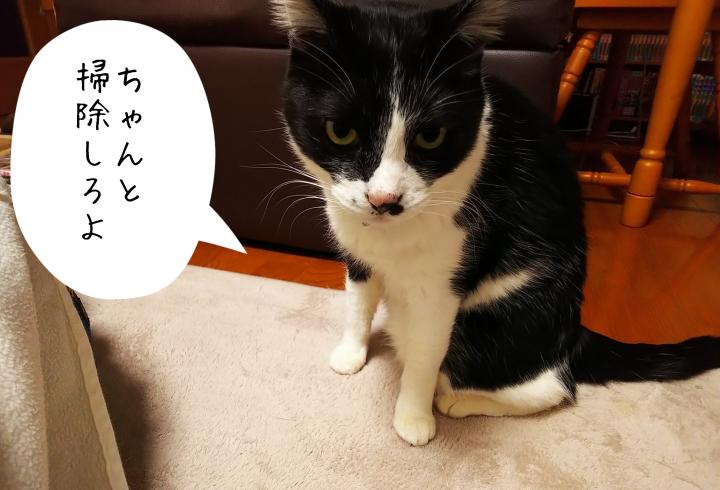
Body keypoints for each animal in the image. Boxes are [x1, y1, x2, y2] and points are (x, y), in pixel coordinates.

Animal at [272, 0, 720, 446]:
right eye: (340, 131)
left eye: (431, 136)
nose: (384, 200)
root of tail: (575, 332)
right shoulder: (357, 252)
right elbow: (358, 301)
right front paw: (351, 353)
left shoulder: (444, 281)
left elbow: (425, 351)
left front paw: (413, 417)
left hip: (494, 318)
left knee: (554, 387)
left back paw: (457, 401)